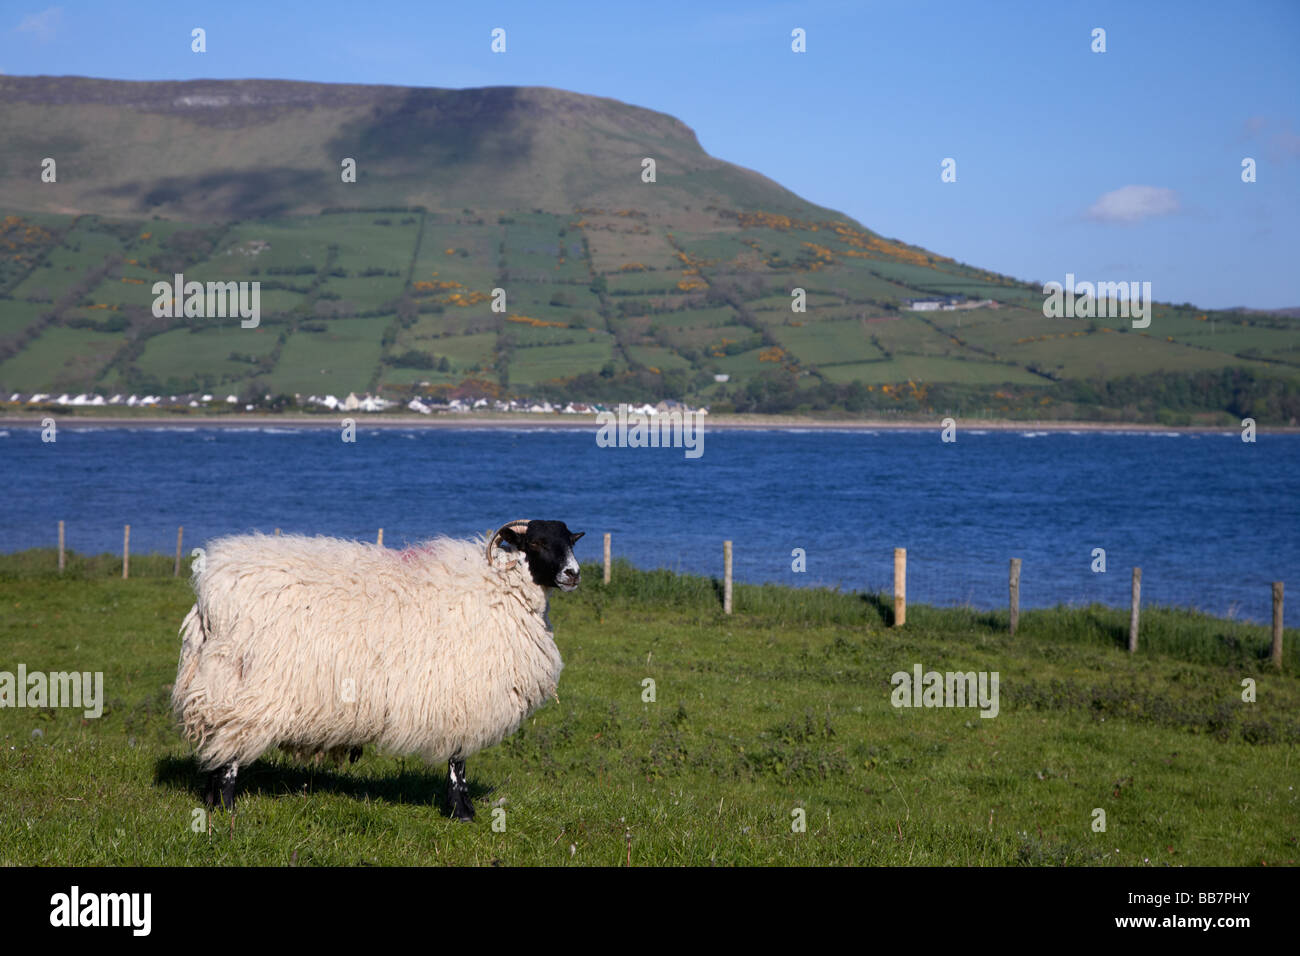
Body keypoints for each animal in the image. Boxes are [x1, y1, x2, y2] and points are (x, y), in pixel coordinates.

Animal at [171, 520, 585, 816]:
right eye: (536, 543)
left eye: (570, 541)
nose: (573, 574)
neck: (500, 588)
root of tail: (208, 597)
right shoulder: (461, 696)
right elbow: (458, 761)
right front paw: (461, 811)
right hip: (244, 686)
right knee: (229, 754)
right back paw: (228, 811)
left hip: (221, 685)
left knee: (217, 749)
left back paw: (211, 805)